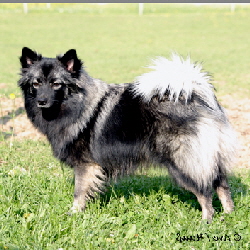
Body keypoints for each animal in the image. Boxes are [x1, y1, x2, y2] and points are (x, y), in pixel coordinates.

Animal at [18, 47, 236, 223]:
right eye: (36, 83)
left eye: (56, 84)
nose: (42, 101)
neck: (77, 105)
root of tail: (195, 96)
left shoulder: (85, 165)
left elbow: (79, 193)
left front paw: (74, 214)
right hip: (207, 159)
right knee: (222, 185)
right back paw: (228, 215)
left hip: (183, 163)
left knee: (205, 192)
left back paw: (206, 221)